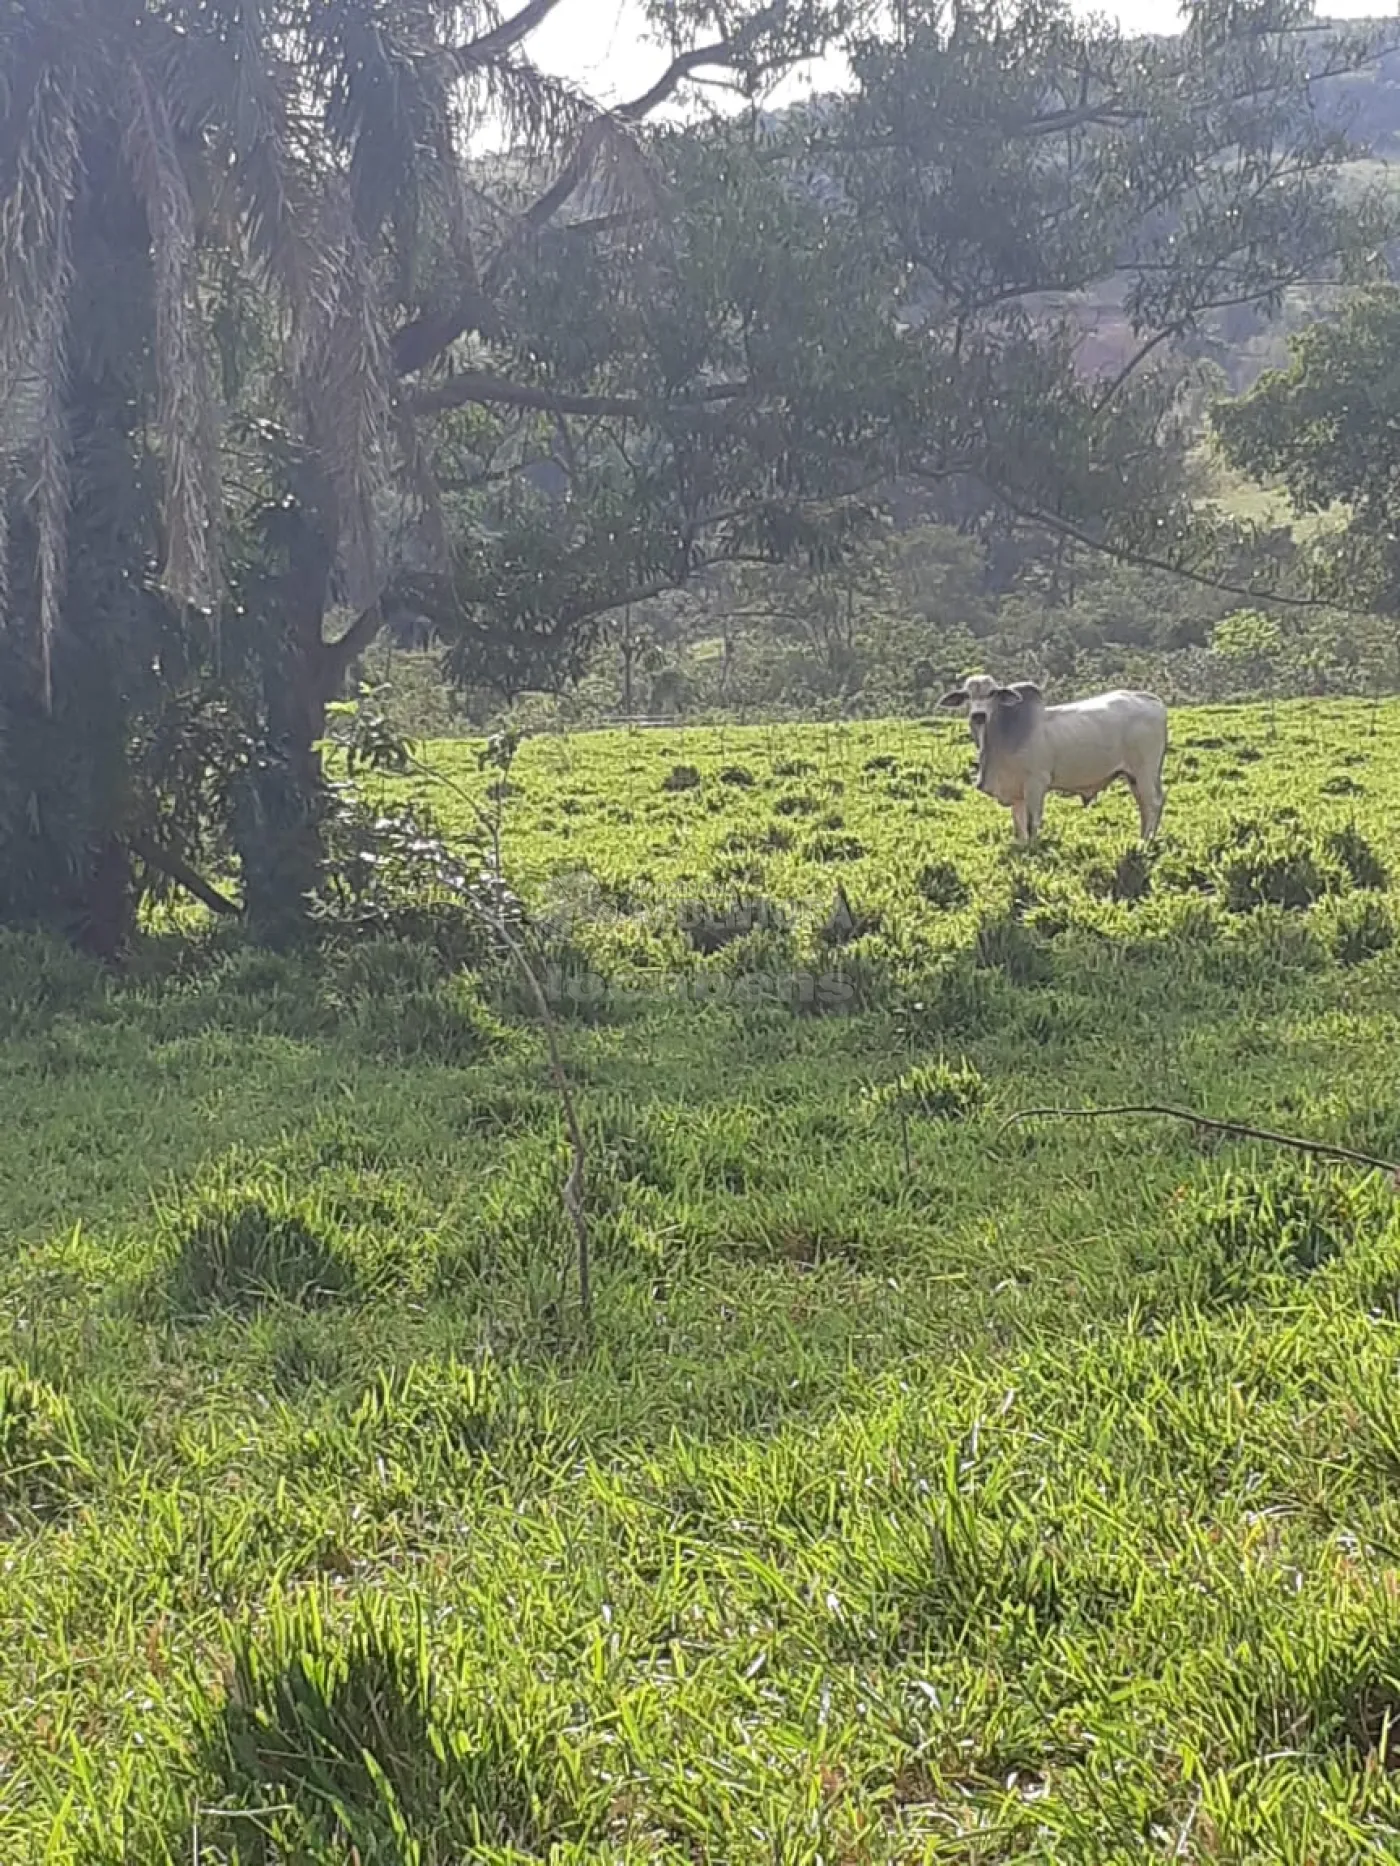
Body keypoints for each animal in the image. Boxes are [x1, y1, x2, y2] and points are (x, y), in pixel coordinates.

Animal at [944, 675, 1172, 843]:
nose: (978, 715)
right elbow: (1019, 825)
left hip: (1145, 771)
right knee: (1144, 806)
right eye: (967, 695)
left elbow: (1032, 822)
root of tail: (1152, 700)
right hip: (1133, 776)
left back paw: (1146, 842)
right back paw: (1143, 838)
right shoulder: (1016, 791)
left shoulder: (1036, 783)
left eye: (992, 693)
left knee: (1153, 803)